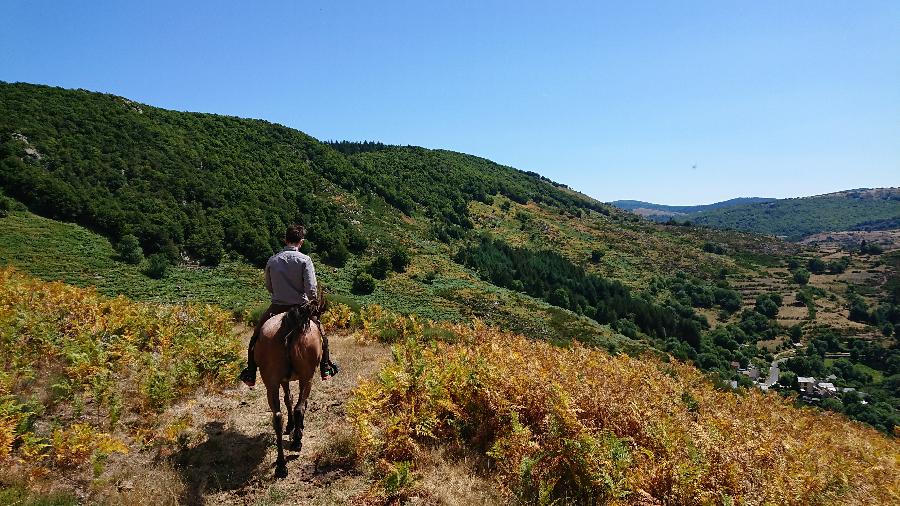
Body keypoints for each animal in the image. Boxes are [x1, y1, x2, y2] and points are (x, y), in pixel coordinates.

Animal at [253, 304, 324, 478]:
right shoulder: (303, 378)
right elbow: (298, 402)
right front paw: (297, 428)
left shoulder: (283, 380)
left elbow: (288, 399)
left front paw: (291, 426)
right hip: (307, 377)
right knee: (299, 407)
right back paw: (297, 442)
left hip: (271, 382)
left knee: (277, 417)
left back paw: (281, 465)